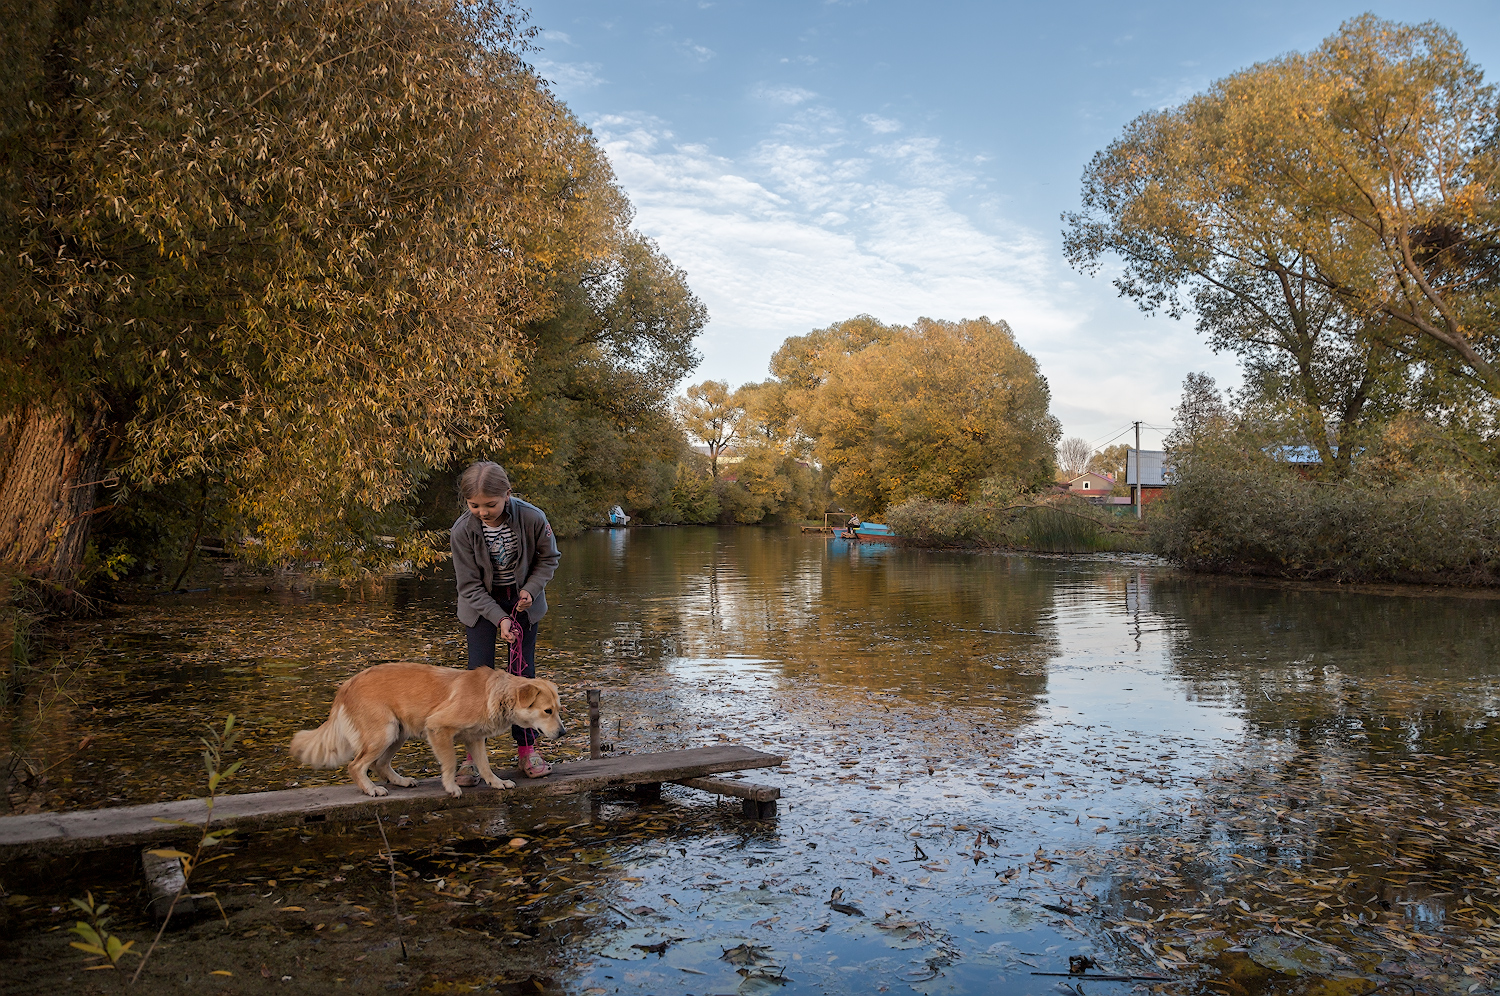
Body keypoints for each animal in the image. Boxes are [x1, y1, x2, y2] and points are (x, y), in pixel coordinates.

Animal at [289, 666, 564, 798]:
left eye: (558, 710)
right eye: (547, 711)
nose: (562, 732)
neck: (494, 694)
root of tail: (347, 684)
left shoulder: (475, 738)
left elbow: (485, 766)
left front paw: (497, 783)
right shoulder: (438, 727)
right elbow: (450, 762)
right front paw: (451, 787)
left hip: (397, 733)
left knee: (380, 764)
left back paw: (400, 781)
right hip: (384, 732)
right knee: (356, 766)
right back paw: (371, 789)